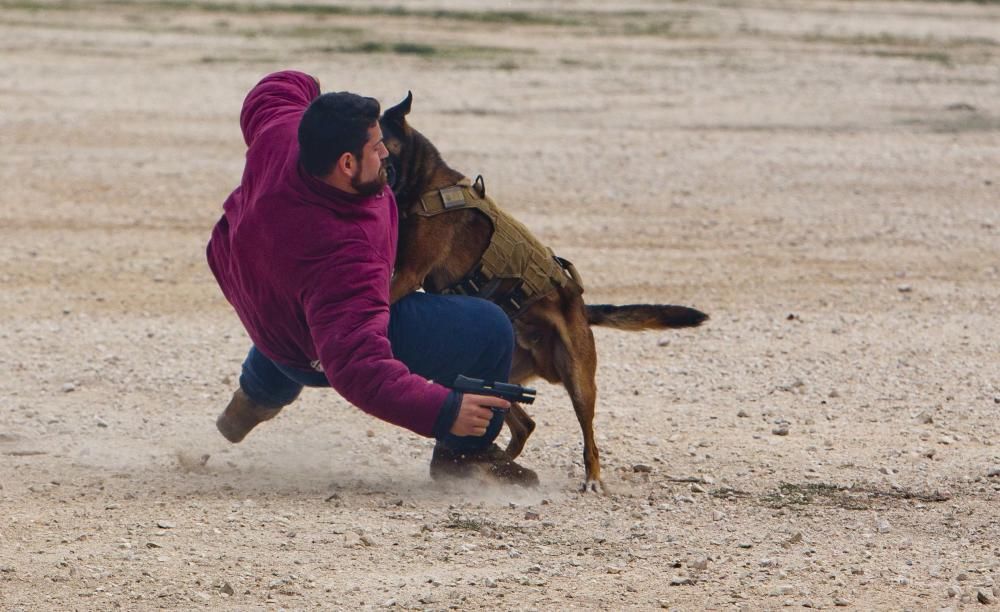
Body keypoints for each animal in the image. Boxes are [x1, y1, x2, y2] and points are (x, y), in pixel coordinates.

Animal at [378, 92, 708, 492]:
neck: (425, 185)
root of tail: (582, 309)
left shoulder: (409, 272)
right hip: (494, 377)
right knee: (523, 423)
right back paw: (494, 463)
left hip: (578, 380)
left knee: (587, 438)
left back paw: (590, 478)